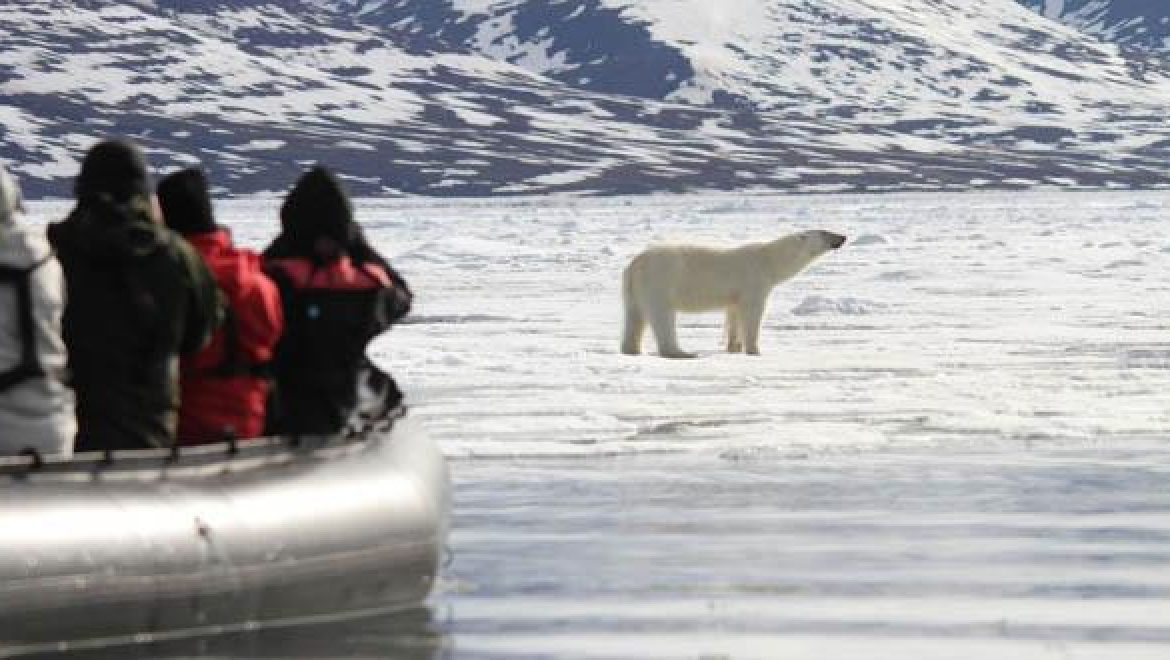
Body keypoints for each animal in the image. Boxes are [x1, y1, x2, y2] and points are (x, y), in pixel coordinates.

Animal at [617, 229, 847, 358]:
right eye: (825, 232)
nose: (843, 237)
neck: (769, 260)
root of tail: (635, 264)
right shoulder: (754, 281)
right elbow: (753, 314)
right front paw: (754, 350)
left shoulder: (735, 294)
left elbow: (734, 313)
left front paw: (734, 347)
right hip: (661, 280)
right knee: (662, 316)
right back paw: (682, 353)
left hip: (633, 289)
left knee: (634, 316)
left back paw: (631, 349)